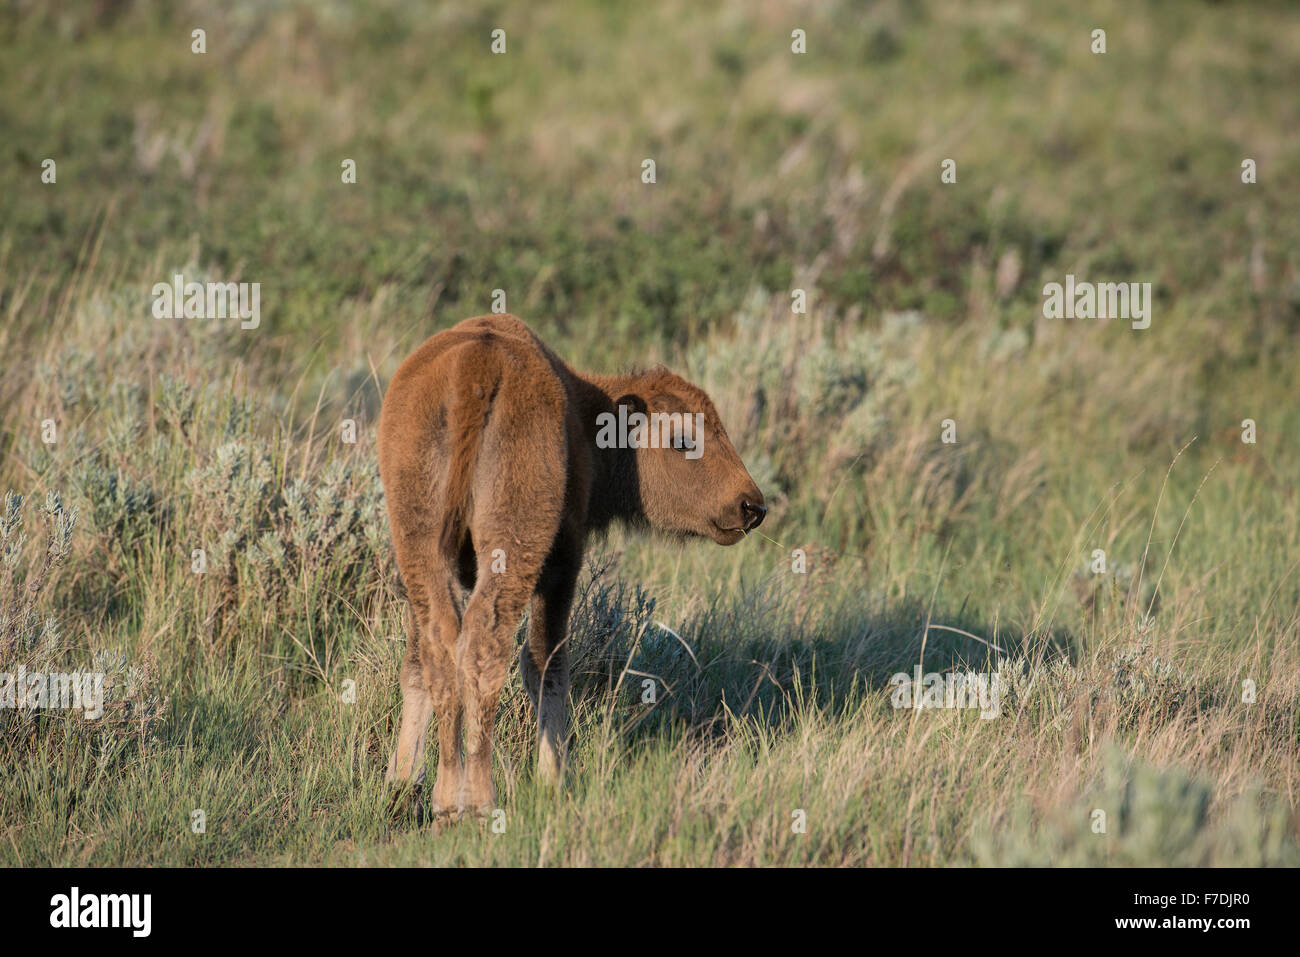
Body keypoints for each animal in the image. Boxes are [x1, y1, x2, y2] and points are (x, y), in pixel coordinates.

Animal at [377, 314, 764, 816]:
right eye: (683, 439)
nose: (751, 506)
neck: (587, 414)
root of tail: (476, 366)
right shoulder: (563, 563)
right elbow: (547, 665)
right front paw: (554, 778)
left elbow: (419, 665)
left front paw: (402, 780)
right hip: (513, 548)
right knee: (486, 646)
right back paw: (477, 802)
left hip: (419, 544)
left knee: (437, 646)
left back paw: (437, 797)